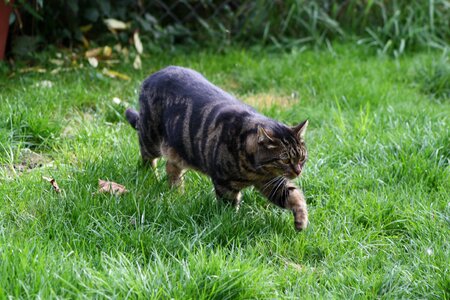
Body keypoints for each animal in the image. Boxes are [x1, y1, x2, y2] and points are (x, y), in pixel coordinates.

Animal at [125, 66, 310, 230]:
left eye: (302, 158)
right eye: (285, 159)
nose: (298, 171)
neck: (255, 171)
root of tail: (151, 76)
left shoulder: (271, 182)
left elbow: (295, 196)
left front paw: (301, 220)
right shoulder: (224, 183)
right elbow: (229, 207)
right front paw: (232, 223)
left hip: (178, 149)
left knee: (172, 167)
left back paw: (177, 192)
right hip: (150, 138)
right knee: (146, 158)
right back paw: (150, 176)